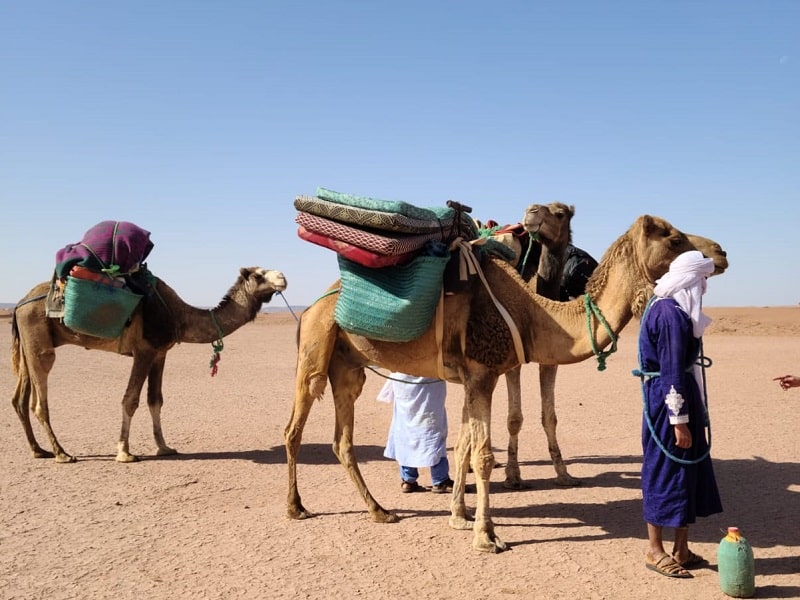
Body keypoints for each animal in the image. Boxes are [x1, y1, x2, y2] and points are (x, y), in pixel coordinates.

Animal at [11, 264, 288, 462]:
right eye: (259, 274)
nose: (283, 277)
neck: (178, 315)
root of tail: (18, 304)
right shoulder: (143, 350)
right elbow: (130, 399)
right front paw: (124, 452)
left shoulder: (160, 353)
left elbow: (155, 400)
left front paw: (164, 447)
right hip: (39, 342)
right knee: (39, 401)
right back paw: (62, 453)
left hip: (27, 345)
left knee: (19, 400)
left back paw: (39, 450)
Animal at [286, 207, 712, 552]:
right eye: (673, 237)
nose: (716, 253)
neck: (531, 313)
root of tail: (319, 301)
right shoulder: (482, 373)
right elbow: (483, 456)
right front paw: (486, 536)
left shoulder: (473, 378)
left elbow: (464, 447)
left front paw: (459, 516)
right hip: (314, 349)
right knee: (294, 429)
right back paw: (296, 507)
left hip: (348, 366)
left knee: (342, 441)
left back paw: (379, 510)